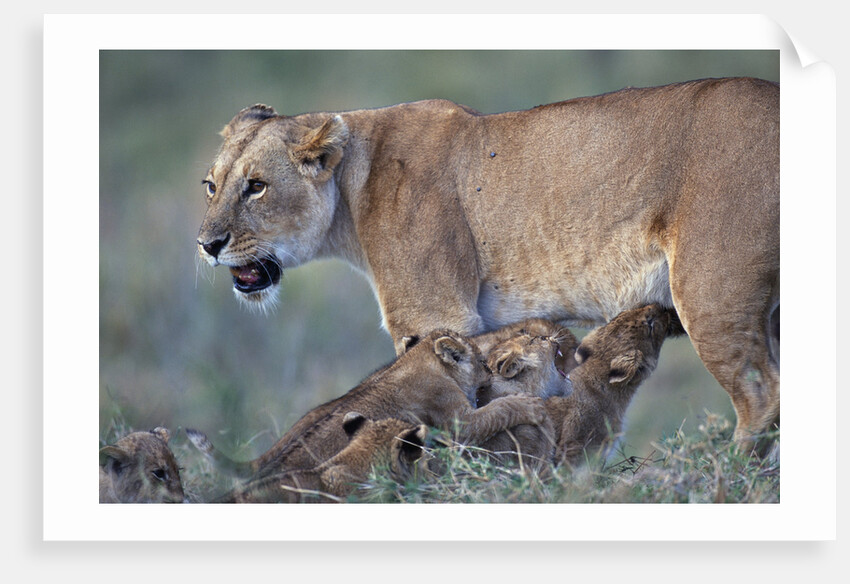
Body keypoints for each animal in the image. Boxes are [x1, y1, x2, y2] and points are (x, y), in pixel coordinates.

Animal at [188, 329, 551, 482]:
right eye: (482, 362)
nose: (489, 373)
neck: (421, 361)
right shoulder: (457, 420)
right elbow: (498, 411)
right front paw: (529, 404)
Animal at [197, 77, 779, 447]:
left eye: (256, 187)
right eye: (210, 185)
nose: (206, 244)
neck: (351, 186)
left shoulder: (437, 314)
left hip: (712, 296)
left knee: (762, 398)